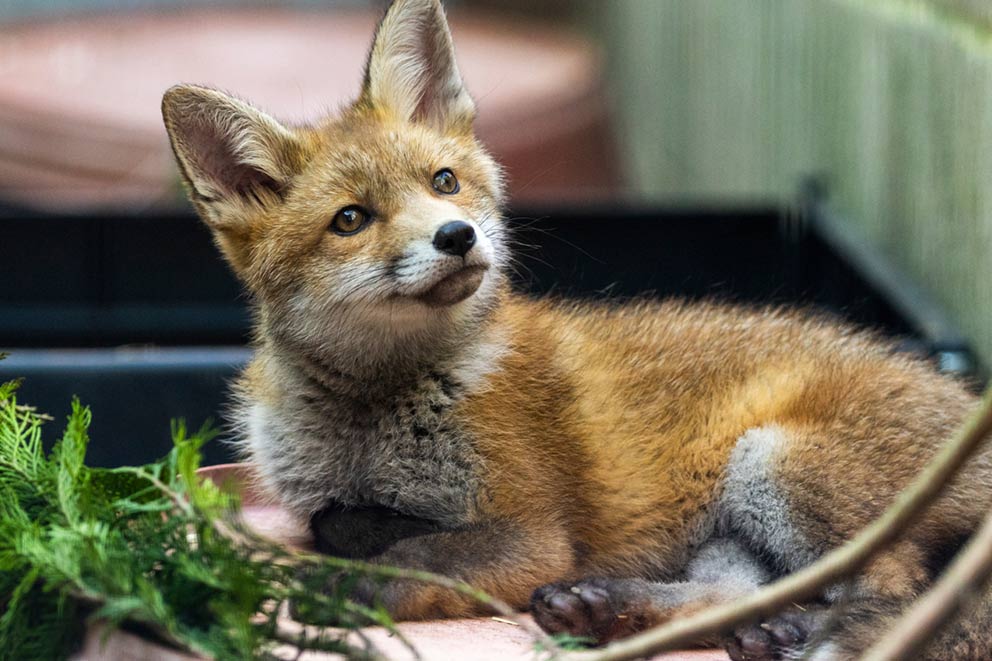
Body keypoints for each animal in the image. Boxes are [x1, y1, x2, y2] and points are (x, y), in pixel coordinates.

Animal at [160, 0, 992, 658]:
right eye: (350, 220)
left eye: (443, 182)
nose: (457, 236)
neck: (371, 418)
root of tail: (965, 396)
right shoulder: (332, 497)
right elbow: (349, 521)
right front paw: (359, 540)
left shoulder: (531, 534)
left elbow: (422, 554)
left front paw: (340, 586)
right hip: (735, 525)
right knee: (737, 597)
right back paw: (615, 610)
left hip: (774, 465)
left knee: (897, 586)